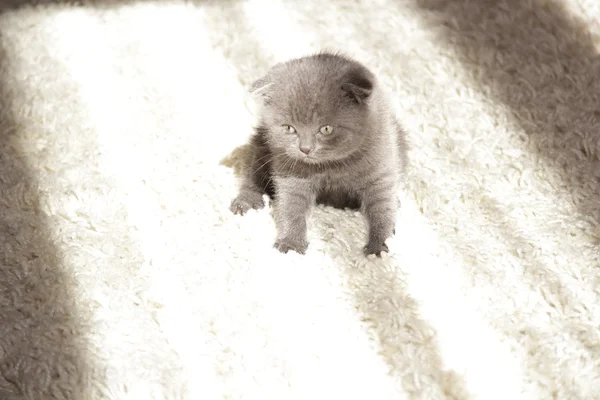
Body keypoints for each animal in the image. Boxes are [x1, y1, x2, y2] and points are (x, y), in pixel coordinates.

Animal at [230, 51, 408, 256]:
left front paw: (380, 246)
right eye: (289, 128)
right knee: (252, 173)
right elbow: (291, 205)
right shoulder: (291, 172)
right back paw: (246, 201)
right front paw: (292, 243)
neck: (331, 165)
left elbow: (382, 206)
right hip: (261, 145)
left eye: (326, 129)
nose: (305, 149)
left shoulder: (380, 165)